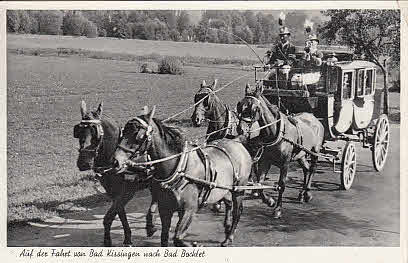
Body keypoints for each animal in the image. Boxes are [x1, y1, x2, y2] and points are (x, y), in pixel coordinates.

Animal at [73, 101, 158, 248]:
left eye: (95, 133)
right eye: (78, 131)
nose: (83, 163)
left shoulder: (128, 191)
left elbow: (109, 216)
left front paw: (109, 240)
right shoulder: (113, 193)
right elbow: (120, 214)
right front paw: (127, 238)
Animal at [111, 106, 252, 248]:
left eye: (137, 135)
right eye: (123, 132)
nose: (116, 161)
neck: (179, 169)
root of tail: (236, 140)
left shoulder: (189, 209)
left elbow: (177, 238)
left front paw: (195, 245)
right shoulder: (165, 209)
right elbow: (164, 238)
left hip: (238, 189)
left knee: (237, 211)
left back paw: (229, 237)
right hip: (224, 189)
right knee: (228, 203)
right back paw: (227, 227)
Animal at [237, 84, 324, 219]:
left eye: (254, 108)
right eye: (240, 105)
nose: (240, 129)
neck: (276, 133)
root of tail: (314, 118)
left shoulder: (285, 164)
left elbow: (281, 185)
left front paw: (278, 208)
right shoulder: (265, 161)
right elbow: (259, 183)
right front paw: (270, 201)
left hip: (315, 151)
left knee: (312, 169)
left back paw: (308, 193)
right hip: (300, 155)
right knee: (306, 169)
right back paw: (302, 193)